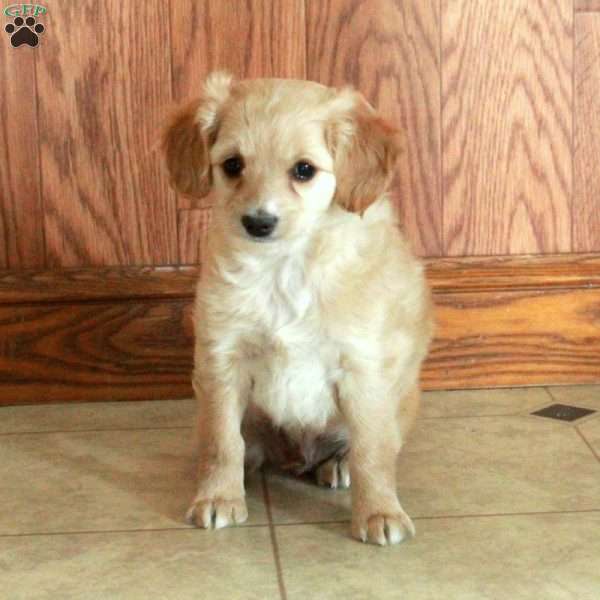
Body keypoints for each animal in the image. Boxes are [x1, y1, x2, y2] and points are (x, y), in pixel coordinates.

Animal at [162, 72, 434, 548]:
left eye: (304, 170)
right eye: (232, 165)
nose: (258, 222)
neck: (285, 267)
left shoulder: (363, 368)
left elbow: (373, 451)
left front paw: (379, 511)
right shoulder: (222, 358)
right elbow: (221, 440)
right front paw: (218, 496)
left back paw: (337, 464)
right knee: (237, 443)